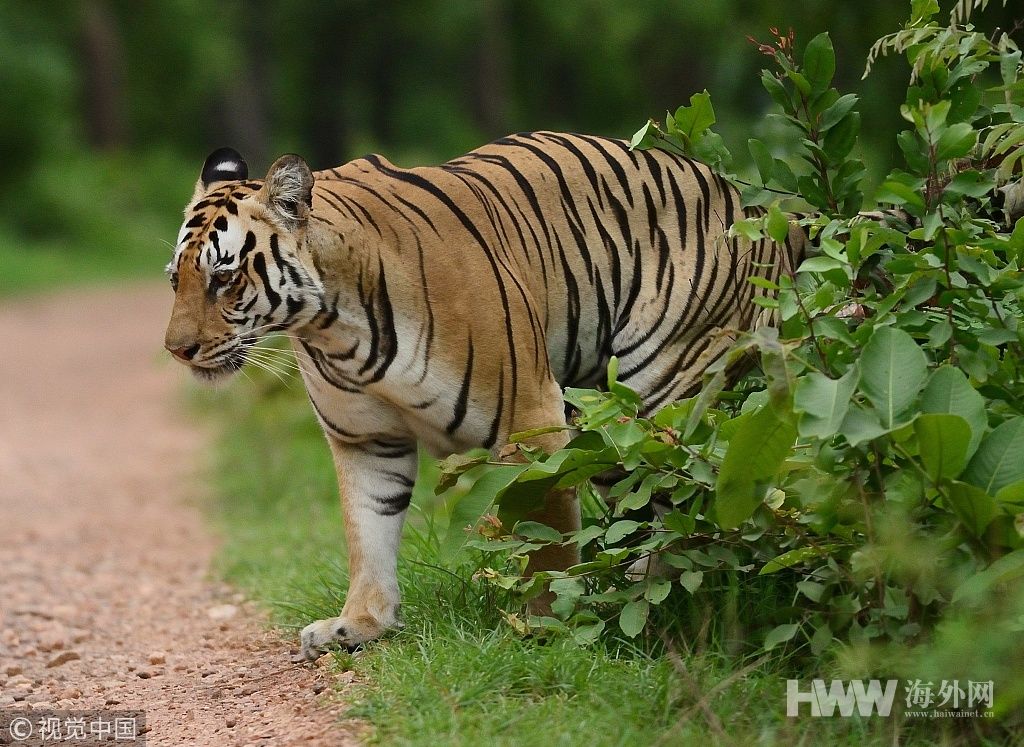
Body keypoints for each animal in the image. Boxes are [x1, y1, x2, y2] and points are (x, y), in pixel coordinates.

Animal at [163, 132, 802, 659]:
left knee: (683, 504)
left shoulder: (532, 422)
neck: (331, 328)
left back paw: (635, 598)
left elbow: (546, 544)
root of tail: (751, 205)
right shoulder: (366, 440)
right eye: (176, 279)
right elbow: (367, 531)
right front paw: (360, 623)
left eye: (224, 277)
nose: (176, 349)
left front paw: (550, 626)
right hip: (603, 424)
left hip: (662, 388)